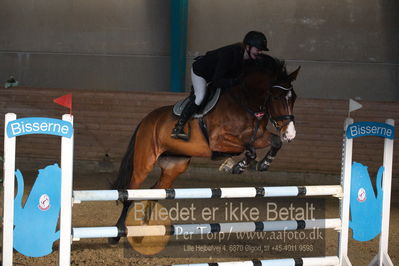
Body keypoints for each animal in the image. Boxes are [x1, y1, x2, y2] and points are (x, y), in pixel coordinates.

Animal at [109, 54, 300, 243]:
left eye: (294, 98)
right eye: (276, 97)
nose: (290, 134)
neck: (246, 102)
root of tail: (147, 120)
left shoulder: (258, 136)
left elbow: (274, 142)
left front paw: (262, 164)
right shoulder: (218, 141)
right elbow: (249, 150)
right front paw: (237, 166)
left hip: (174, 166)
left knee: (156, 192)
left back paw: (141, 234)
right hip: (145, 161)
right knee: (131, 193)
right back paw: (116, 235)